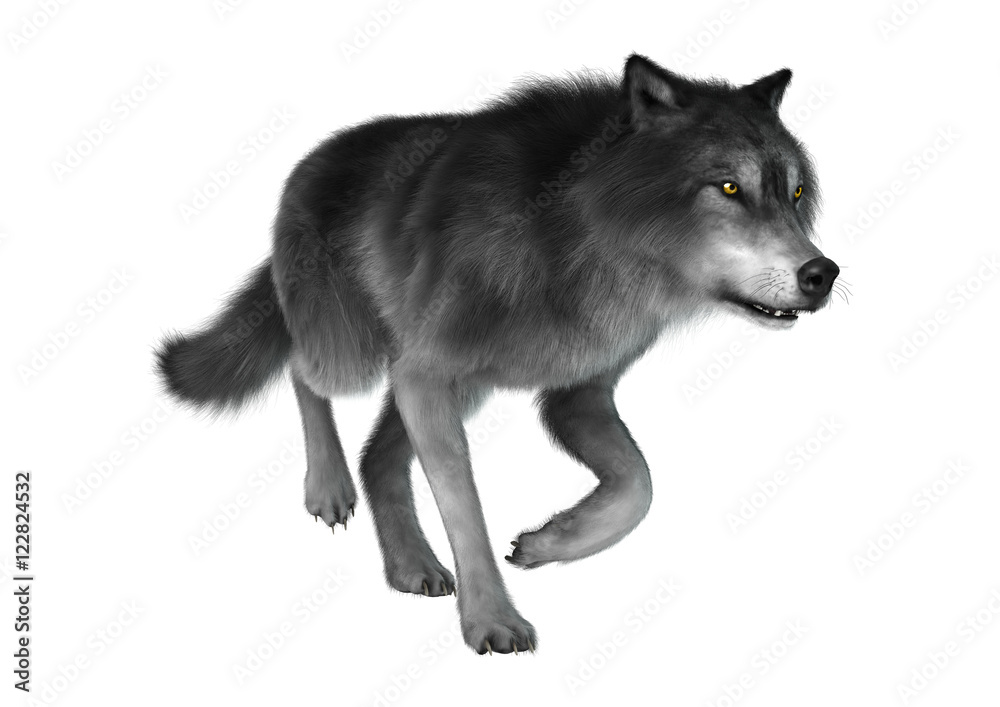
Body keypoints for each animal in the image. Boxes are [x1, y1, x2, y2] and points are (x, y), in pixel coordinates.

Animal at [156, 54, 840, 655]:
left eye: (795, 193)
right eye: (729, 187)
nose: (823, 273)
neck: (578, 246)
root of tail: (314, 158)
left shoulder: (576, 394)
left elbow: (640, 486)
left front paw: (549, 543)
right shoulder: (426, 375)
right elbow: (468, 512)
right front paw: (492, 621)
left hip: (459, 387)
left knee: (378, 455)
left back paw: (409, 564)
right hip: (356, 358)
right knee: (302, 371)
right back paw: (328, 488)